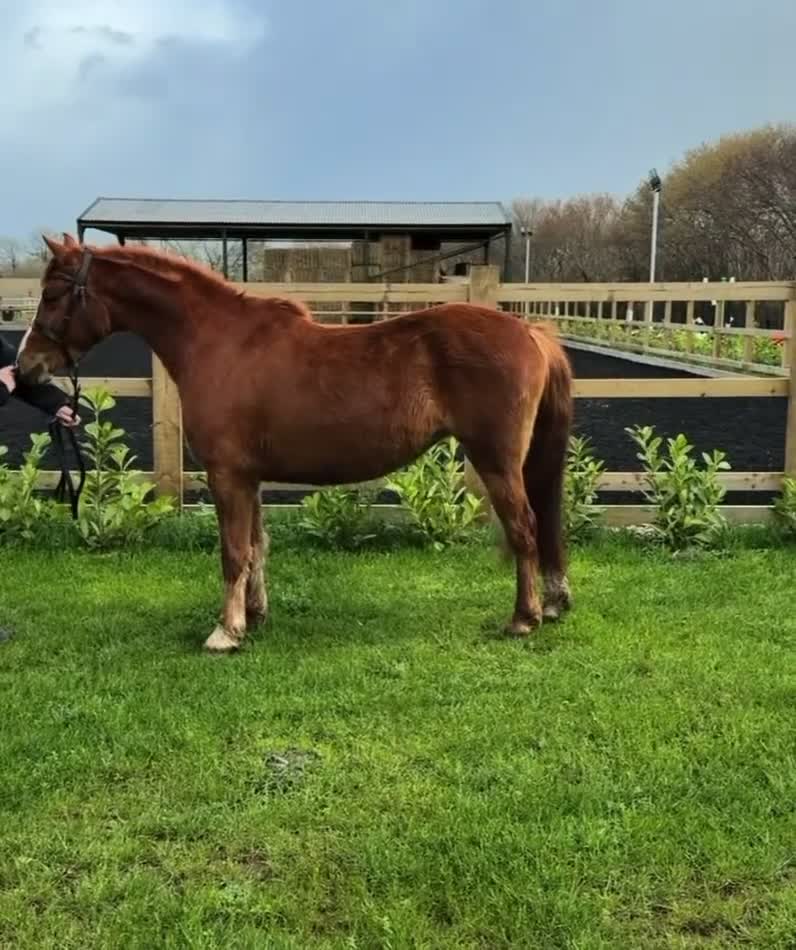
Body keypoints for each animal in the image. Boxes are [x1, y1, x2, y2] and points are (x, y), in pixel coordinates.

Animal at [17, 234, 574, 654]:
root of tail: (529, 331)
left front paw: (226, 631)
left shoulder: (226, 474)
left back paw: (523, 618)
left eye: (54, 293)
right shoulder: (249, 476)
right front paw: (253, 614)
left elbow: (232, 550)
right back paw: (551, 602)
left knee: (525, 528)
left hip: (497, 461)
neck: (219, 342)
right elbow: (256, 545)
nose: (24, 369)